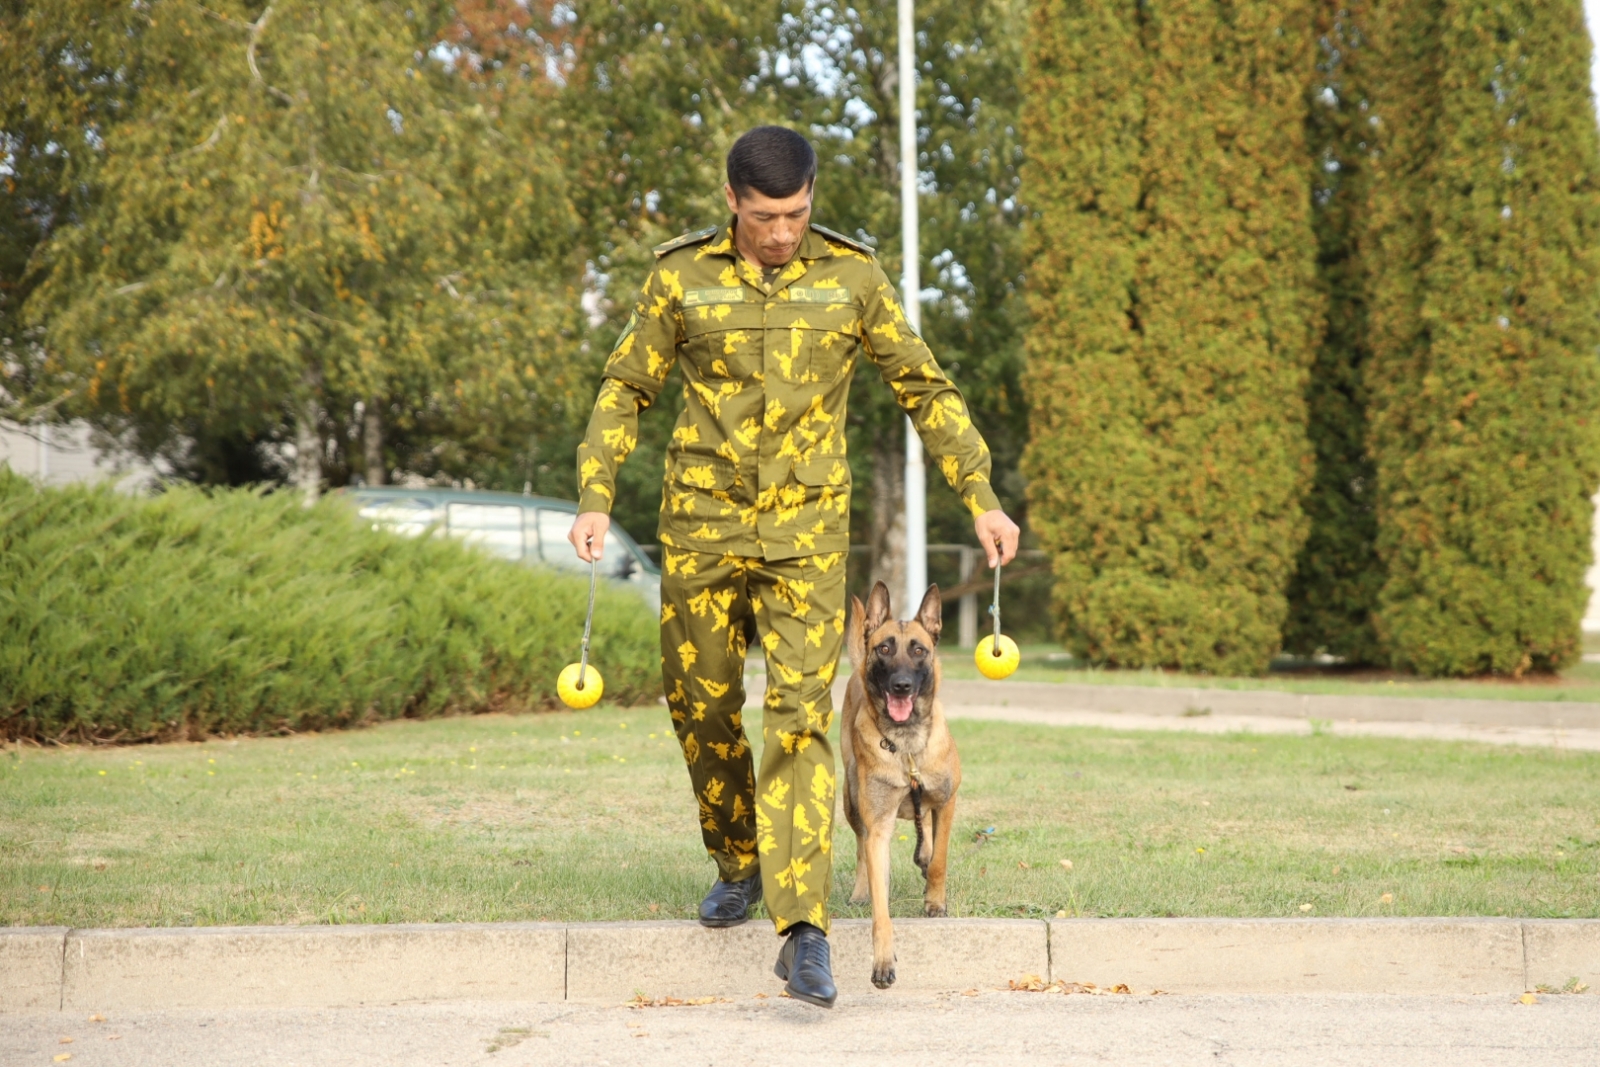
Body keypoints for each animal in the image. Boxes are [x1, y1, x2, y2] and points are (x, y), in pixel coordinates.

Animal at [838, 579, 960, 991]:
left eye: (919, 650)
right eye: (885, 648)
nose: (902, 686)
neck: (906, 745)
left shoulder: (946, 801)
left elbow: (939, 860)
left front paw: (935, 901)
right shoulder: (879, 826)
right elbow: (881, 908)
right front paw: (882, 961)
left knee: (928, 835)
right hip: (851, 799)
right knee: (860, 848)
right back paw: (860, 890)